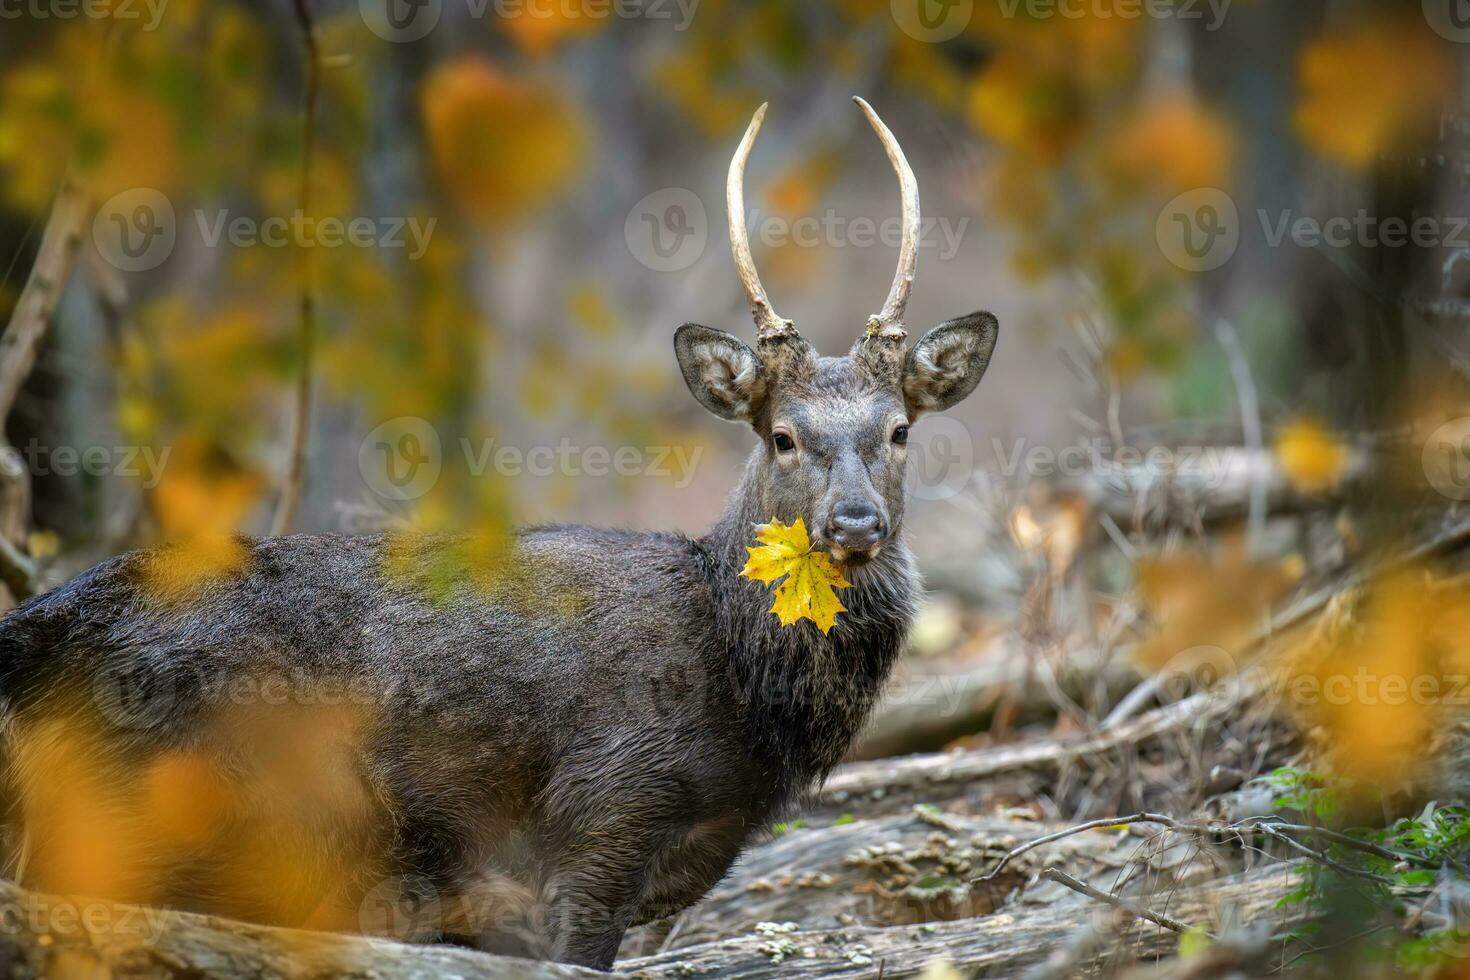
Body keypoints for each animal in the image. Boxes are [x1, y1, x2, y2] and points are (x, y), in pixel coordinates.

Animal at [0, 95, 999, 969]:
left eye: (899, 430)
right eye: (782, 436)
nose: (856, 523)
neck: (740, 695)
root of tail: (29, 643)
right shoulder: (602, 810)